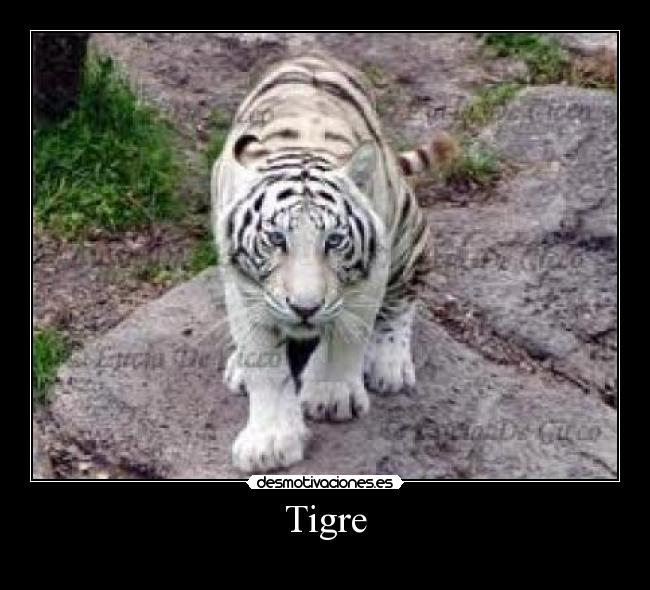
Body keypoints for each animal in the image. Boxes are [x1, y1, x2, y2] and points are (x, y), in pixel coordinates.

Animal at [211, 53, 457, 473]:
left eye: (334, 241)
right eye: (276, 240)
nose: (305, 308)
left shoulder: (373, 268)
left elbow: (348, 332)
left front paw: (331, 396)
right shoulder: (240, 282)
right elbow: (264, 360)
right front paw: (269, 443)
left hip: (409, 233)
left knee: (406, 293)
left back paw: (390, 363)